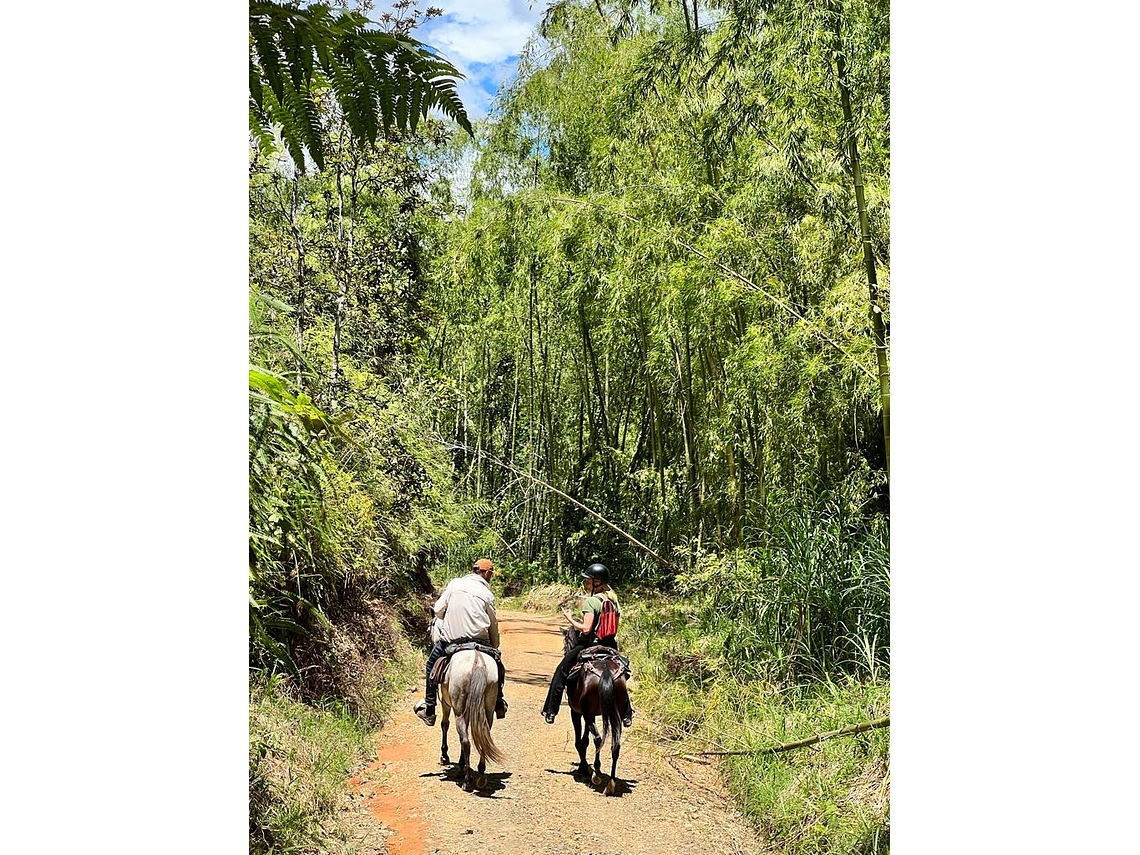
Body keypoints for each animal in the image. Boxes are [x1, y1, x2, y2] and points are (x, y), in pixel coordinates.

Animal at [563, 624, 629, 793]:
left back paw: (597, 774)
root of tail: (605, 670)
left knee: (598, 739)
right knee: (615, 744)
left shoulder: (576, 712)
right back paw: (611, 783)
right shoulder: (589, 714)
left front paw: (584, 768)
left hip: (587, 714)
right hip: (615, 715)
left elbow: (580, 741)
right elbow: (584, 740)